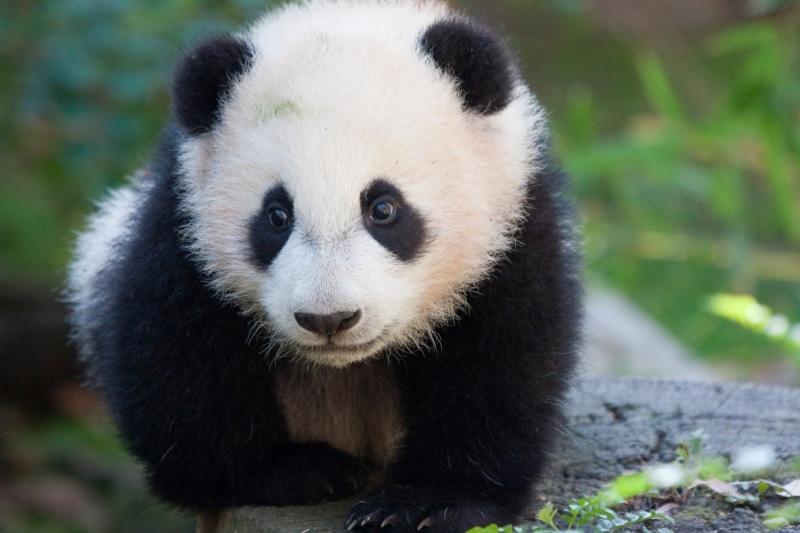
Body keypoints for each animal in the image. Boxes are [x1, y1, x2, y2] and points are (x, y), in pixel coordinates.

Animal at [66, 1, 582, 532]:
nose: (329, 319)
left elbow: (501, 361)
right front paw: (292, 471)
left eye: (383, 208)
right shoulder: (182, 219)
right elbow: (176, 353)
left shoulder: (514, 220)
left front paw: (425, 502)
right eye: (277, 215)